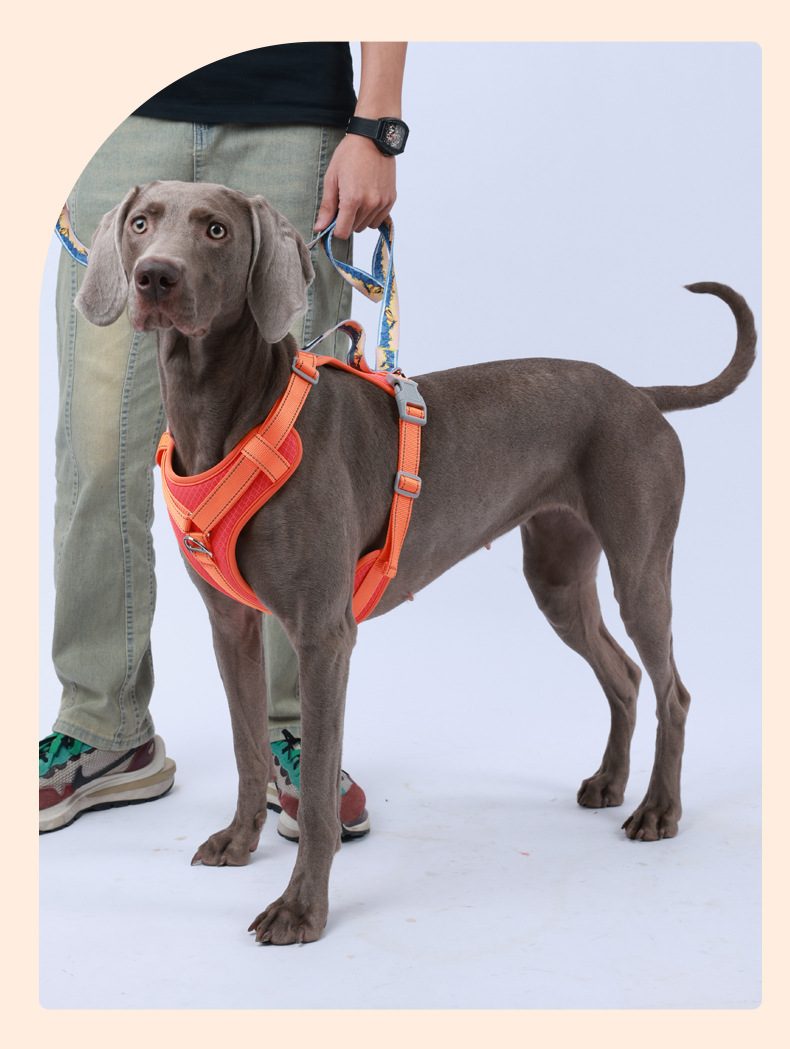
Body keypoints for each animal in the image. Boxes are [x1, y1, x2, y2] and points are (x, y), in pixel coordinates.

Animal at [75, 180, 757, 944]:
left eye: (216, 230)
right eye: (141, 223)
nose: (154, 277)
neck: (231, 415)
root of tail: (641, 394)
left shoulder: (324, 635)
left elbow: (317, 796)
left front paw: (301, 908)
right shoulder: (232, 625)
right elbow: (248, 748)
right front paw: (240, 840)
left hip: (639, 566)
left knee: (672, 688)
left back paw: (659, 809)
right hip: (556, 574)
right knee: (626, 673)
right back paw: (610, 783)